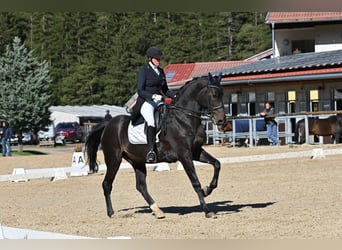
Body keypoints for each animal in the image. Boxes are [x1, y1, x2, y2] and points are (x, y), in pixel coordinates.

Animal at [85, 73, 224, 219]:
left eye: (222, 93)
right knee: (107, 184)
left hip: (137, 161)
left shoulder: (196, 152)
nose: (221, 120)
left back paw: (157, 210)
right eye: (214, 94)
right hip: (114, 159)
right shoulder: (184, 155)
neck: (183, 119)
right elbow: (195, 181)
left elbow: (217, 164)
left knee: (141, 186)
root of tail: (108, 124)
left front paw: (208, 189)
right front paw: (207, 211)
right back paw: (111, 213)